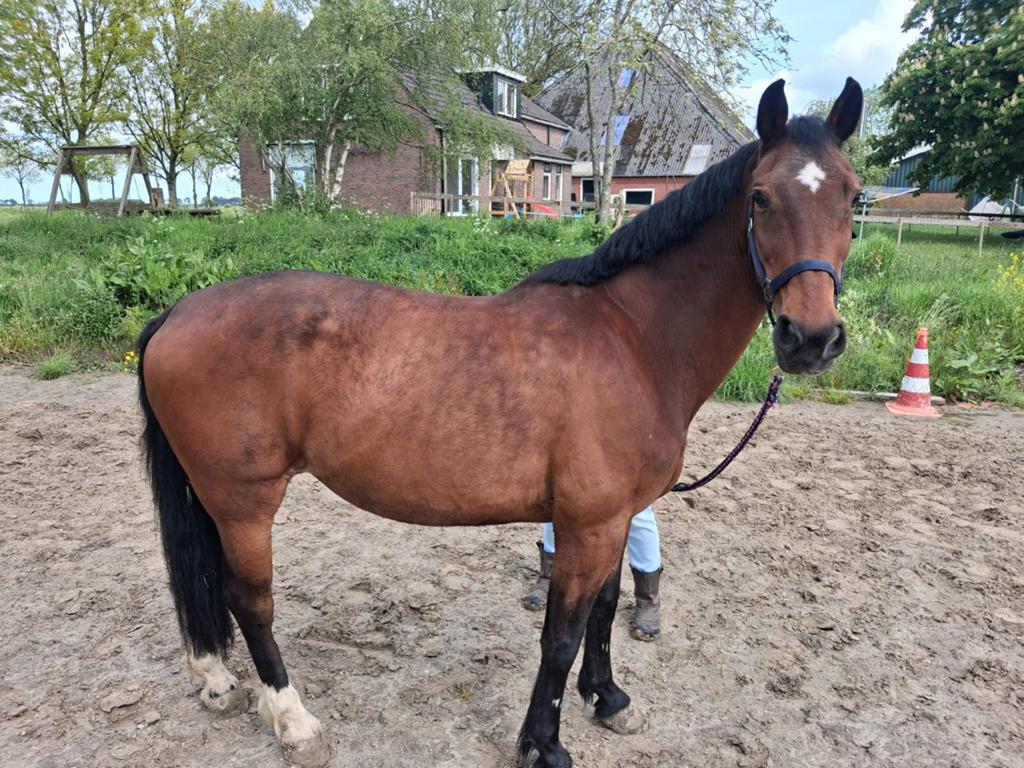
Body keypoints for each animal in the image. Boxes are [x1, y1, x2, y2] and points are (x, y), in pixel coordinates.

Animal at [136, 77, 863, 767]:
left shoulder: (614, 518)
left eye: (852, 199)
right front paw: (544, 744)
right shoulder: (589, 525)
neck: (632, 338)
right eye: (761, 197)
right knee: (249, 600)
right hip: (243, 502)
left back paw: (215, 680)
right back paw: (293, 722)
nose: (811, 338)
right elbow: (561, 636)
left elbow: (603, 613)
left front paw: (609, 698)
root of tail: (177, 314)